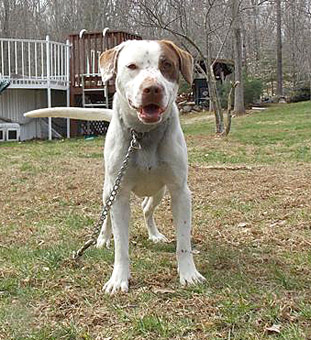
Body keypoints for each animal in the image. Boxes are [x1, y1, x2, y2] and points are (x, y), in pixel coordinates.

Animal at [25, 40, 205, 294]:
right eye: (132, 66)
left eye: (167, 65)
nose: (152, 89)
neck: (142, 135)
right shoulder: (118, 196)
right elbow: (121, 244)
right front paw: (119, 279)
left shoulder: (180, 192)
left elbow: (183, 241)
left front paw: (188, 273)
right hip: (108, 189)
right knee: (107, 217)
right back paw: (102, 239)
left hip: (159, 191)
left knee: (147, 209)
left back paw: (154, 234)